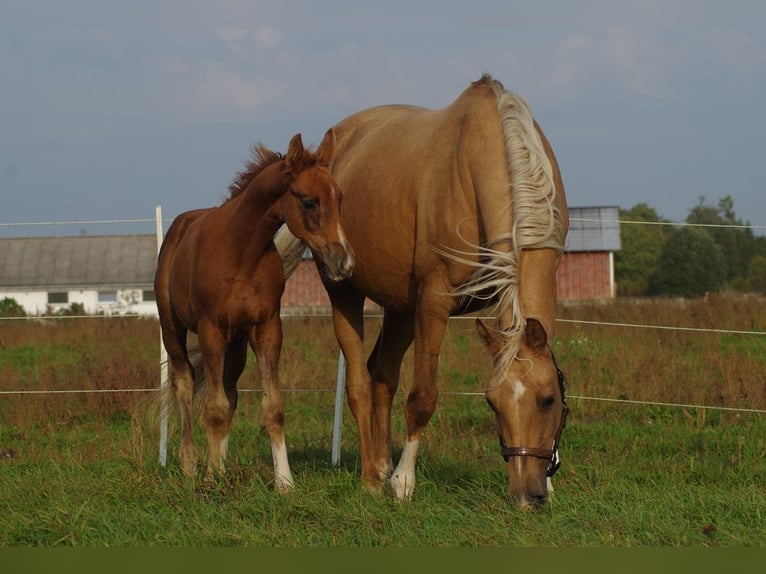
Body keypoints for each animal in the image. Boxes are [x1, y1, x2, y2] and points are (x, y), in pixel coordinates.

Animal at [154, 132, 356, 490]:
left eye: (340, 198)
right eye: (308, 201)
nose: (343, 262)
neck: (241, 252)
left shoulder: (267, 327)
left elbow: (270, 406)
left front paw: (284, 482)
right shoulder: (211, 330)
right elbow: (213, 408)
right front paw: (213, 479)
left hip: (235, 342)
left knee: (230, 391)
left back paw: (216, 464)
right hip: (173, 328)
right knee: (185, 383)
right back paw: (191, 464)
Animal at [278, 74, 568, 510]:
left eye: (548, 399)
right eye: (492, 402)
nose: (526, 496)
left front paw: (551, 484)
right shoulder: (434, 302)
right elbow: (423, 397)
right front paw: (403, 482)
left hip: (400, 308)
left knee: (382, 374)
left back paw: (381, 464)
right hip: (345, 292)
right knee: (360, 385)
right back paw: (372, 477)